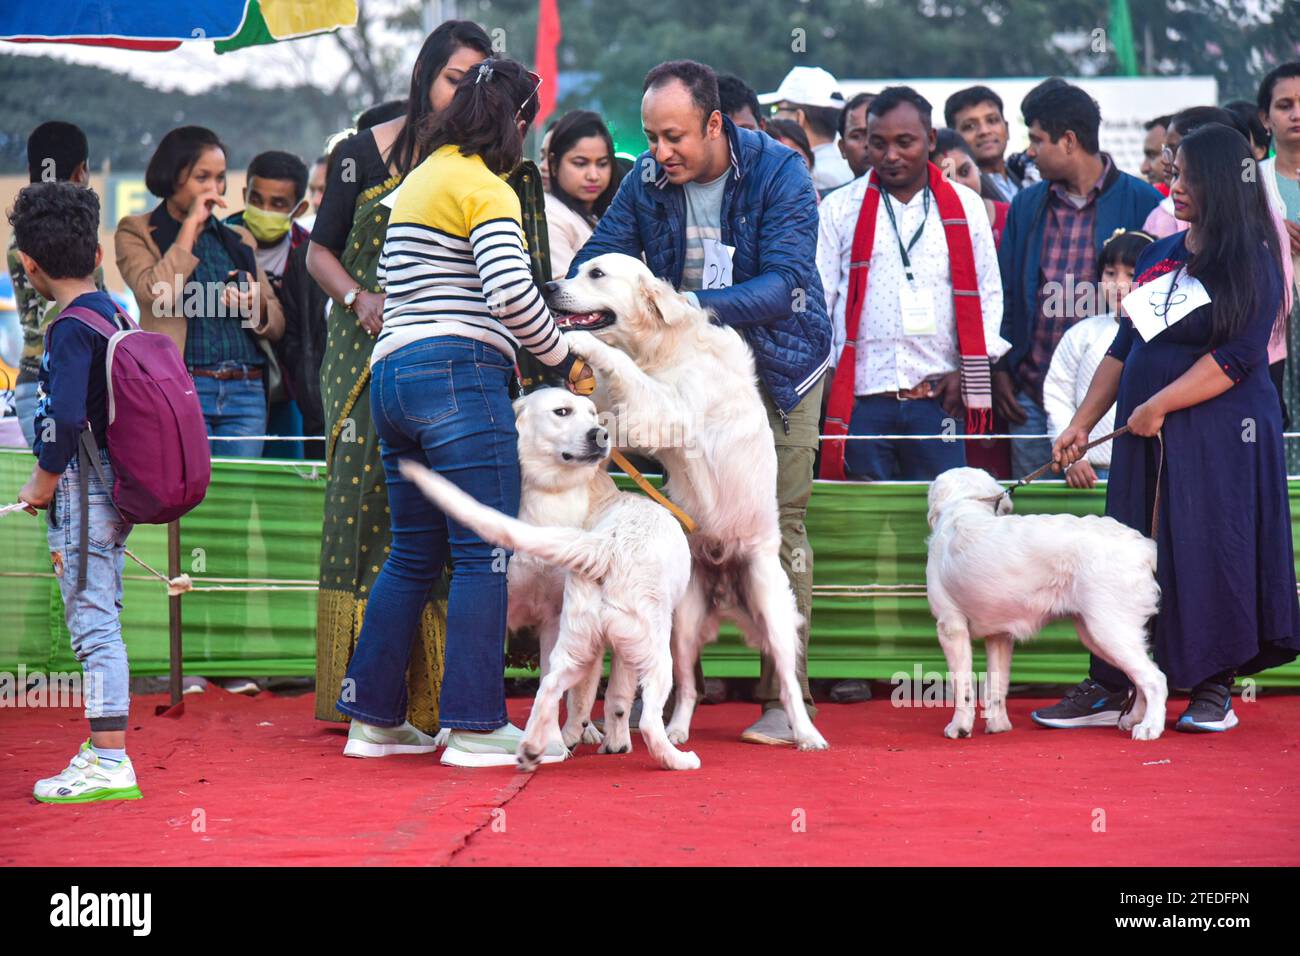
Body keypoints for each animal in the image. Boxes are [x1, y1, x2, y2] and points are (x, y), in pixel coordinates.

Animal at [400, 387, 702, 770]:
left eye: (593, 415)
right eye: (562, 412)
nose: (601, 435)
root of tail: (606, 548)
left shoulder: (554, 621)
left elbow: (595, 695)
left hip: (580, 643)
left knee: (553, 687)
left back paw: (543, 743)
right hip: (659, 650)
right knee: (649, 716)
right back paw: (676, 758)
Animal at [925, 468, 1170, 743]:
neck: (964, 505)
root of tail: (1143, 546)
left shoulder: (951, 626)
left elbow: (962, 685)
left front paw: (959, 727)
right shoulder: (1000, 636)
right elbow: (996, 685)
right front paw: (998, 726)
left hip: (1109, 629)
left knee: (1155, 679)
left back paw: (1150, 727)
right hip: (1099, 634)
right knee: (1139, 678)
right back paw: (1133, 719)